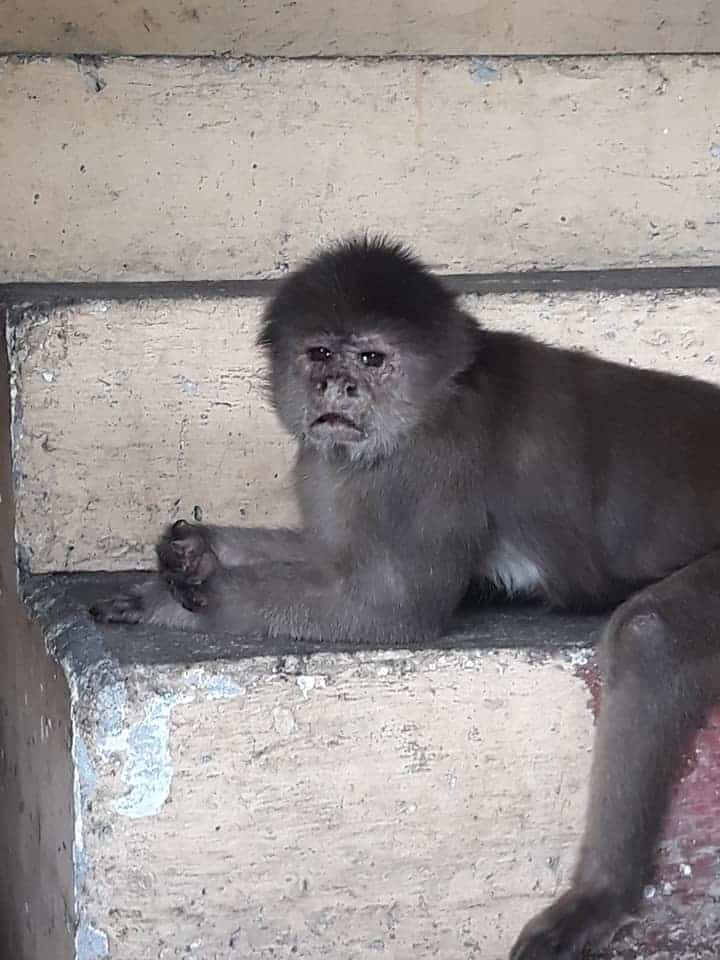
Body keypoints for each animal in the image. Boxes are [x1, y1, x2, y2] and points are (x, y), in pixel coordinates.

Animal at [90, 234, 720, 960]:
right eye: (320, 354)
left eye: (370, 359)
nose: (338, 387)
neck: (432, 403)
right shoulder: (329, 457)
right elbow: (331, 557)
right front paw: (194, 553)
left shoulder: (436, 459)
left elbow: (393, 608)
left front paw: (180, 598)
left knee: (652, 637)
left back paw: (601, 897)